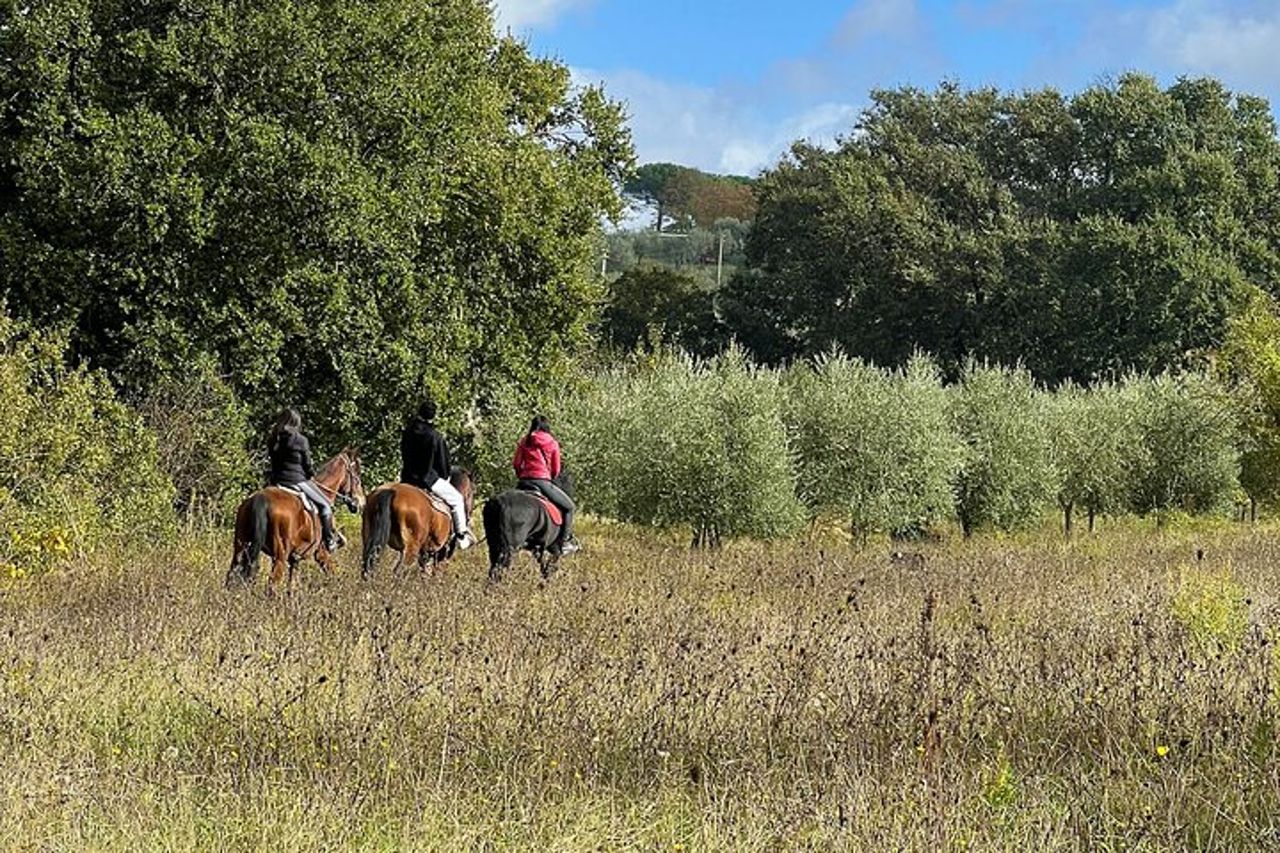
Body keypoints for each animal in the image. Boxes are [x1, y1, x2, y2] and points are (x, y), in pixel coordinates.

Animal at [226, 448, 366, 593]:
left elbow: (292, 587)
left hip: (239, 549)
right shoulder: (321, 553)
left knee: (231, 575)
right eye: (357, 474)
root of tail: (260, 498)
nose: (361, 502)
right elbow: (332, 571)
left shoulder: (295, 559)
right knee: (272, 586)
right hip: (279, 557)